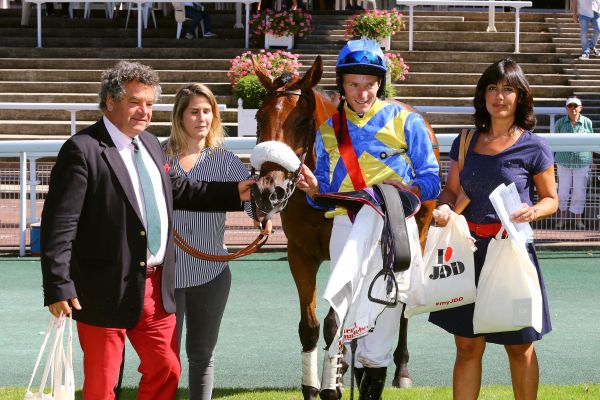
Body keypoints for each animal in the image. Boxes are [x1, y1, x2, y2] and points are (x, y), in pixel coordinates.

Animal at [250, 55, 440, 400]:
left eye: (301, 121)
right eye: (259, 118)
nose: (270, 190)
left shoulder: (346, 253)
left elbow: (333, 322)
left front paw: (331, 385)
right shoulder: (300, 254)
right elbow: (310, 326)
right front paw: (313, 386)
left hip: (414, 237)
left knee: (401, 307)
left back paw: (400, 370)